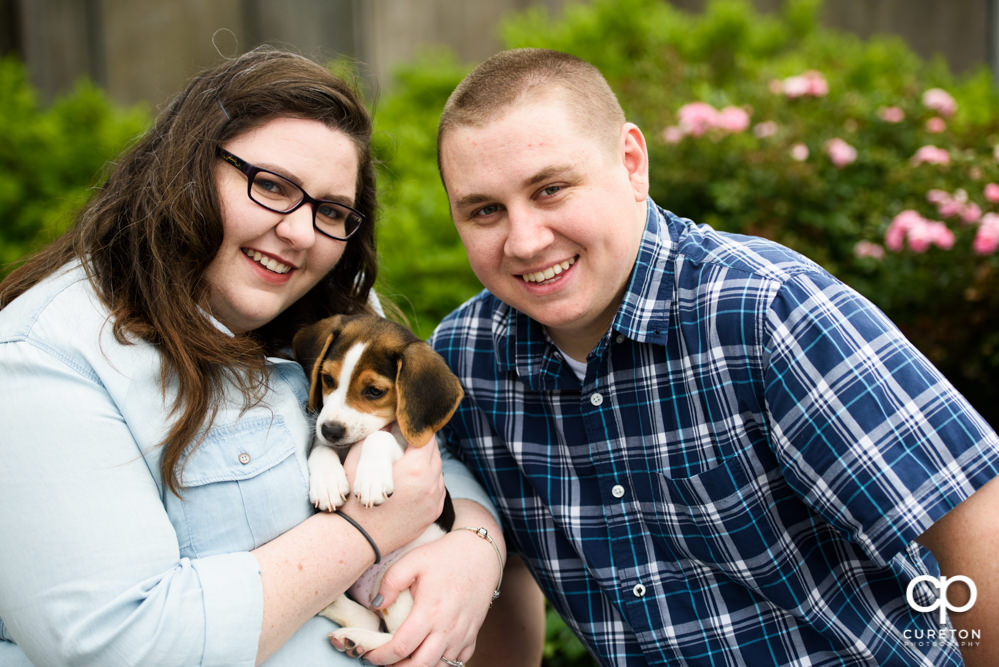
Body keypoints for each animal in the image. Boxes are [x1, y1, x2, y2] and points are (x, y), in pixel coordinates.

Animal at [292, 314, 466, 652]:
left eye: (374, 391)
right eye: (327, 379)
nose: (330, 429)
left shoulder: (405, 445)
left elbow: (379, 438)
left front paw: (370, 480)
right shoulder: (329, 442)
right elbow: (321, 450)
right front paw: (327, 483)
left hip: (396, 588)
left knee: (398, 638)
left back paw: (358, 638)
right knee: (371, 620)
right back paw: (342, 620)